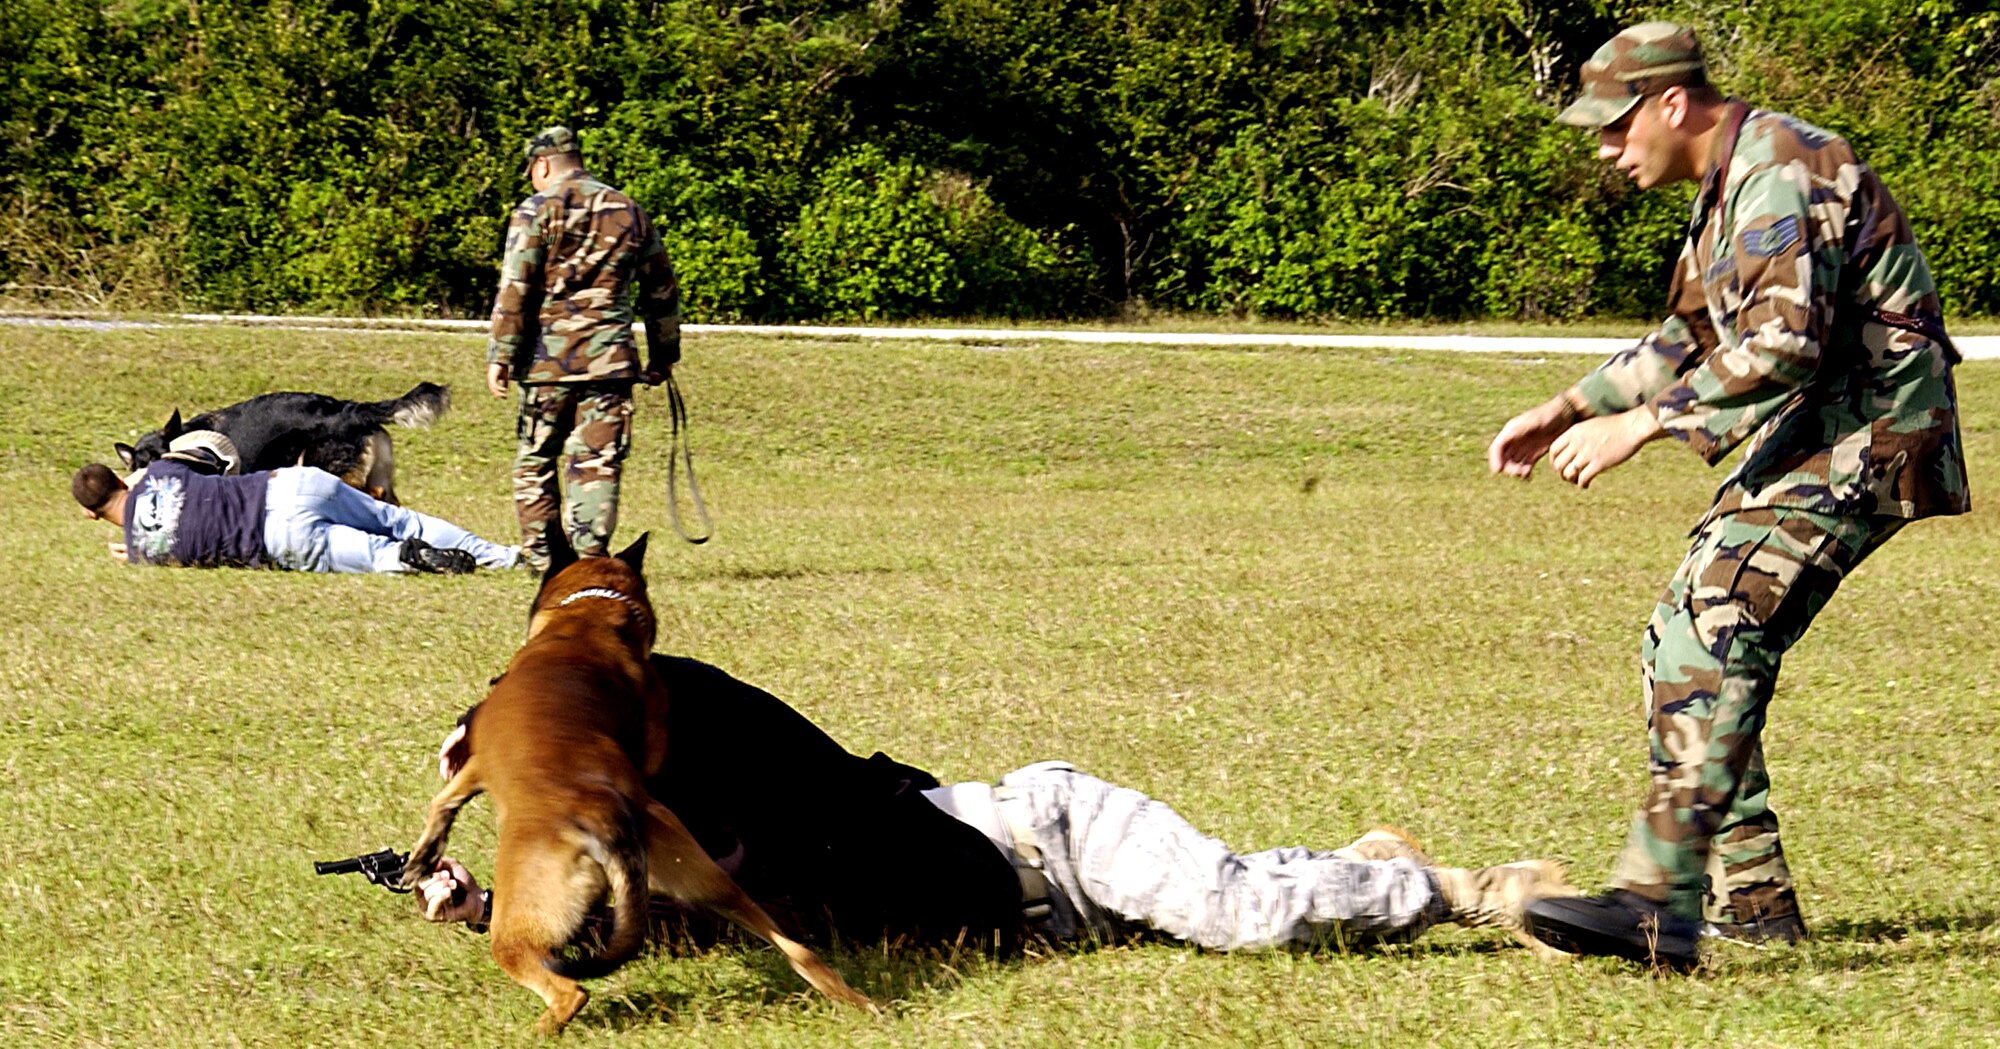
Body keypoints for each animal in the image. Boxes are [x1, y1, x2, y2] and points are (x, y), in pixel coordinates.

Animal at [398, 532, 876, 1032]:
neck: (584, 620)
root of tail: (600, 816)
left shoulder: (478, 764)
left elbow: (444, 799)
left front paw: (422, 855)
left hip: (517, 926)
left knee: (570, 991)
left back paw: (537, 1030)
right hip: (705, 882)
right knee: (795, 947)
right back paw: (853, 999)